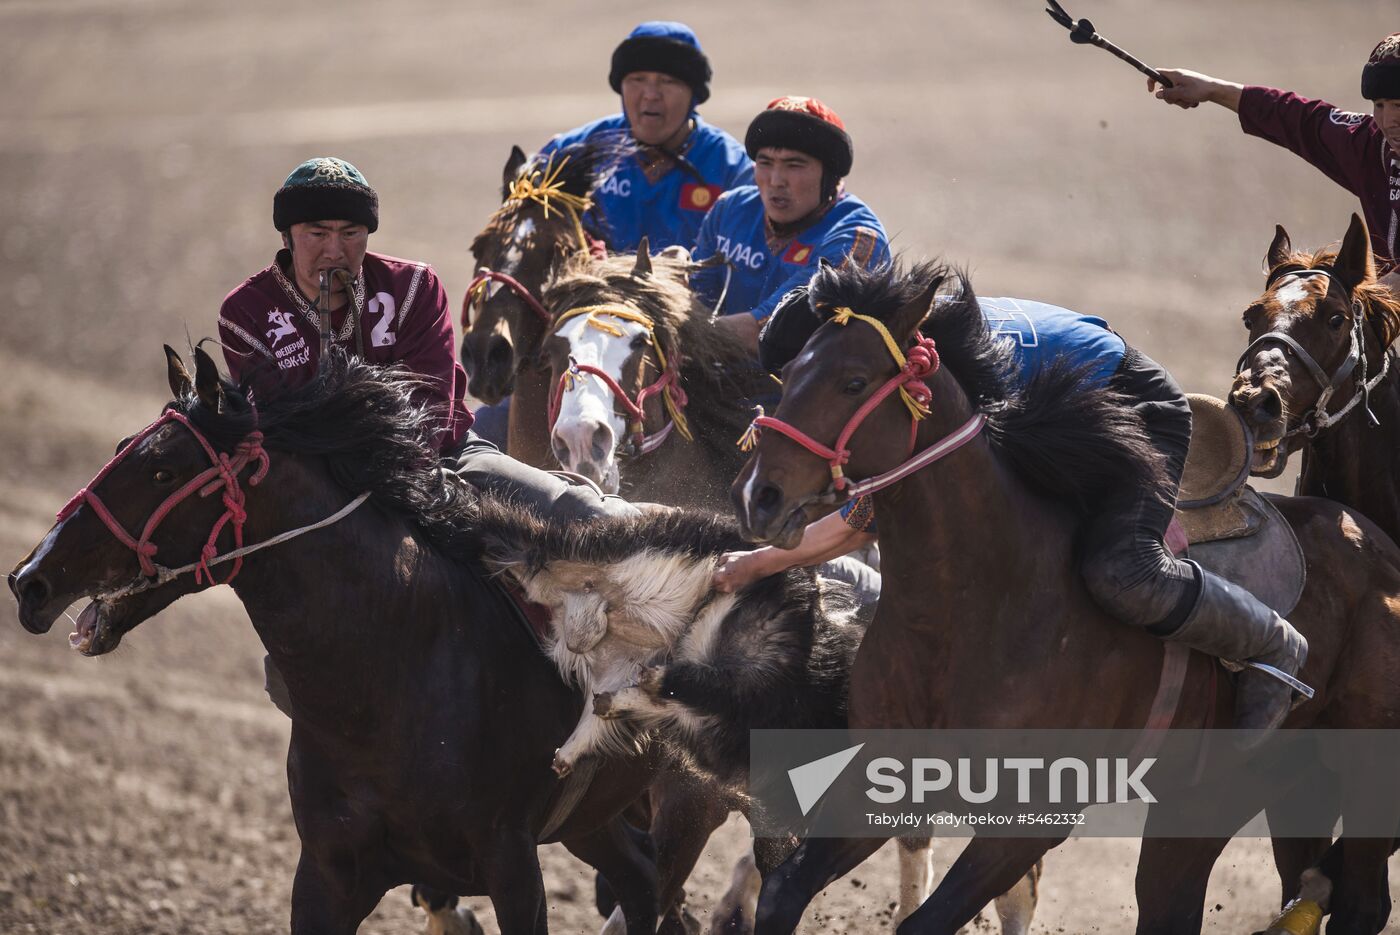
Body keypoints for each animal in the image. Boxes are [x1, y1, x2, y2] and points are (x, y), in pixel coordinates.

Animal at [10, 348, 711, 935]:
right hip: (597, 820)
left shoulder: (513, 868)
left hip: (684, 805)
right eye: (124, 447)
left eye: (161, 470)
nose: (30, 581)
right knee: (640, 880)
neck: (396, 676)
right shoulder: (328, 876)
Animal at [728, 258, 1400, 929]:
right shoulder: (883, 774)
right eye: (790, 372)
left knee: (1360, 898)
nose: (760, 496)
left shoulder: (1026, 823)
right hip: (1231, 798)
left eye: (853, 381)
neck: (971, 604)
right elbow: (784, 889)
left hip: (1360, 776)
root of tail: (1378, 541)